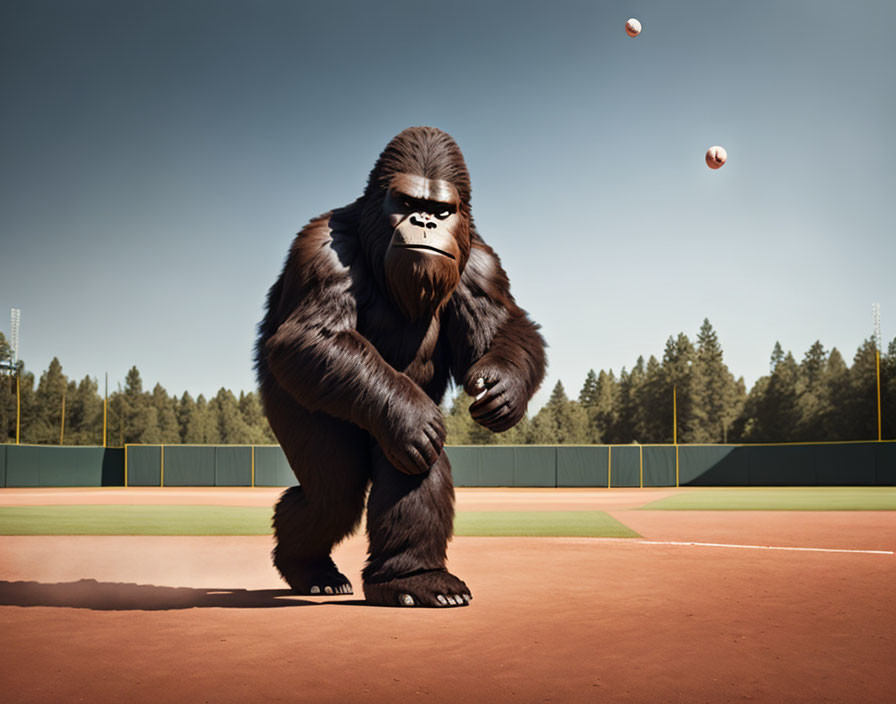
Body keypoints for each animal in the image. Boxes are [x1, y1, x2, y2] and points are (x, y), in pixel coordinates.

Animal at [254, 125, 544, 604]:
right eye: (407, 204)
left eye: (441, 210)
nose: (425, 223)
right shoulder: (321, 248)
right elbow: (311, 337)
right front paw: (409, 417)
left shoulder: (482, 264)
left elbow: (503, 326)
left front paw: (505, 386)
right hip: (289, 397)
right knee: (332, 492)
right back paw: (309, 567)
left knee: (397, 459)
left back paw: (414, 576)